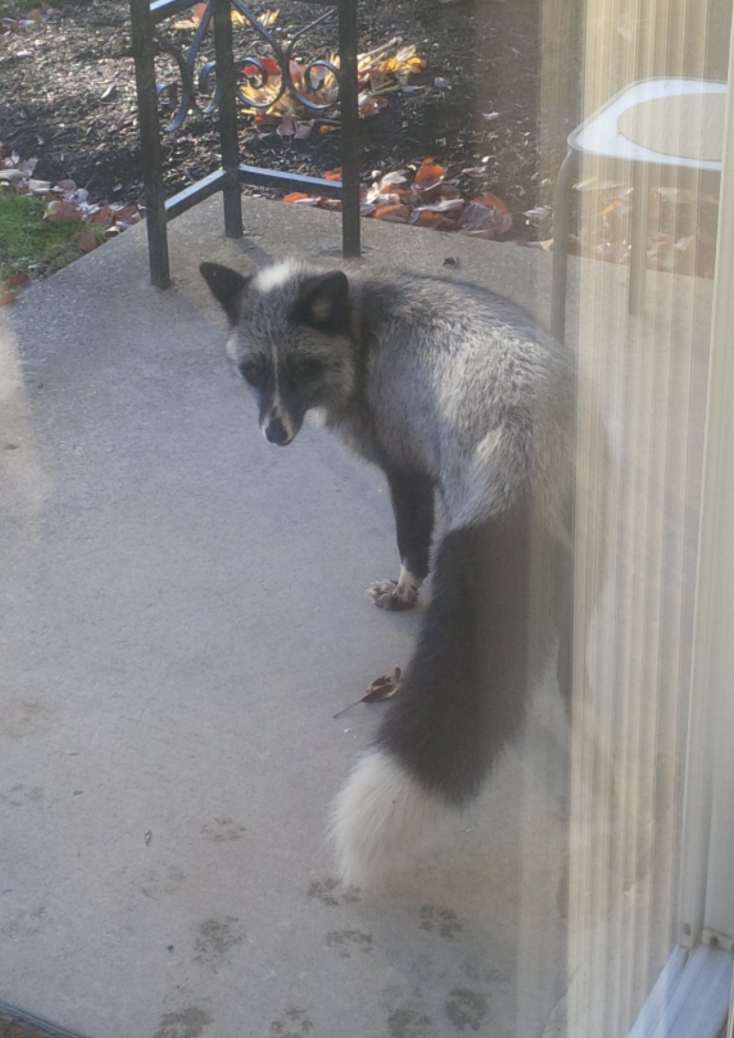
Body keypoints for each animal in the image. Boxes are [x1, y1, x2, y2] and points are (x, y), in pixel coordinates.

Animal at [202, 255, 581, 888]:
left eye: (302, 368)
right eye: (253, 371)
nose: (275, 434)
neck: (361, 327)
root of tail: (527, 442)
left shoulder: (405, 469)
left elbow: (410, 544)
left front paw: (404, 593)